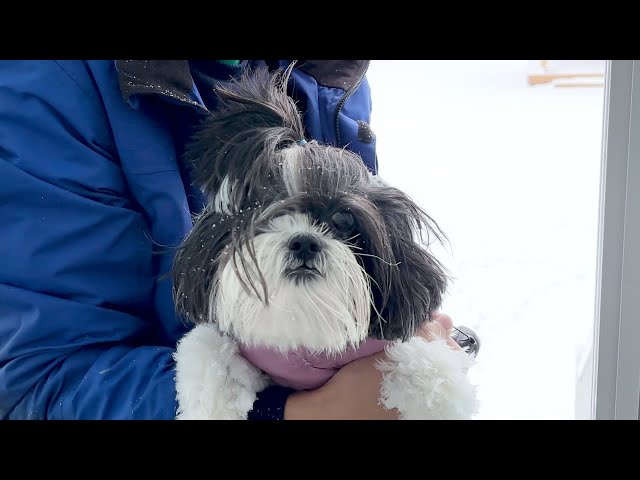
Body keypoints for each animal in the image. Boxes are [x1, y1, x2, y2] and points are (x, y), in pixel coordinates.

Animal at [169, 65, 476, 418]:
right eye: (266, 209)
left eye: (343, 219)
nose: (304, 241)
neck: (305, 336)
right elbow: (205, 348)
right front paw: (214, 402)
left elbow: (425, 361)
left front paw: (435, 393)